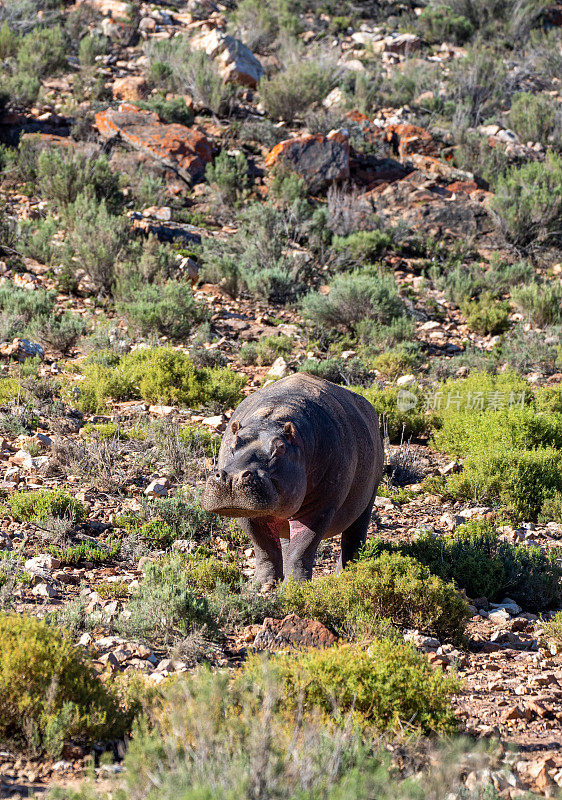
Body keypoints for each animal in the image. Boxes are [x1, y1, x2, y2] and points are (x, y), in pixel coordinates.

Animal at [199, 372, 382, 584]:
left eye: (280, 447)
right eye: (232, 442)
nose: (232, 478)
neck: (272, 417)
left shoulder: (319, 507)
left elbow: (302, 547)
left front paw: (295, 586)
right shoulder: (249, 512)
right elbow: (264, 548)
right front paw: (261, 586)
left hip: (368, 499)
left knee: (354, 537)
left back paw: (346, 575)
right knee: (286, 541)